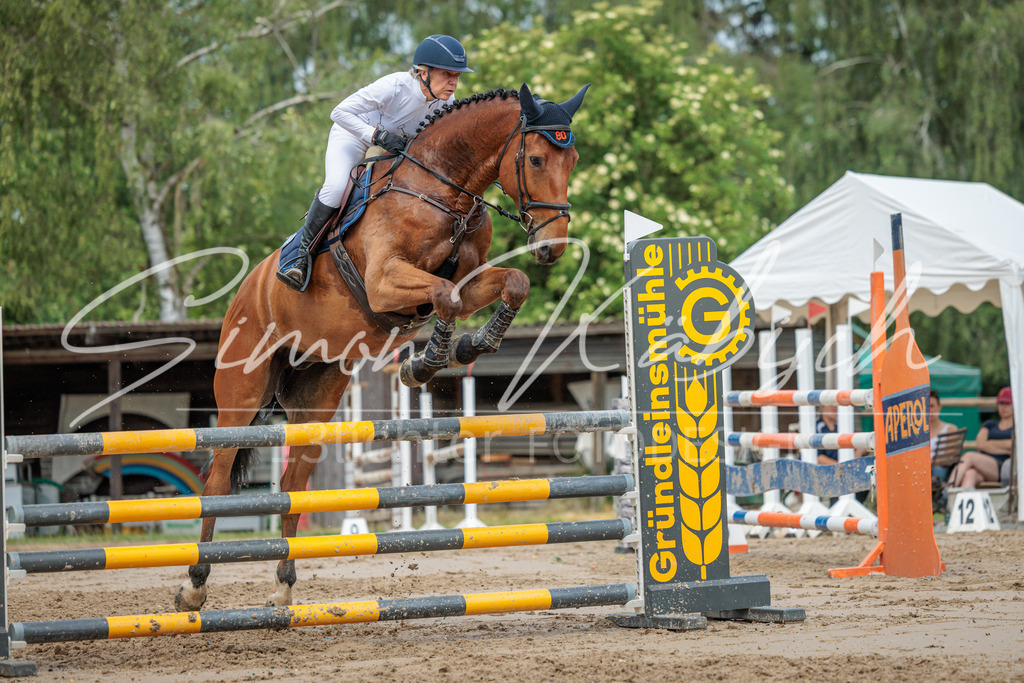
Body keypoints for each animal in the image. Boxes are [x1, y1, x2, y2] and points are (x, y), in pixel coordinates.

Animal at [174, 82, 590, 611]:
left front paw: (471, 346)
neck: (446, 194)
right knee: (217, 480)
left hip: (318, 398)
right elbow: (445, 294)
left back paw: (284, 586)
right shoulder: (383, 283)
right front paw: (427, 363)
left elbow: (510, 283)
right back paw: (194, 585)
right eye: (535, 159)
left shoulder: (473, 277)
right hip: (241, 396)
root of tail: (245, 294)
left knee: (292, 486)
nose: (552, 247)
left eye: (572, 158)